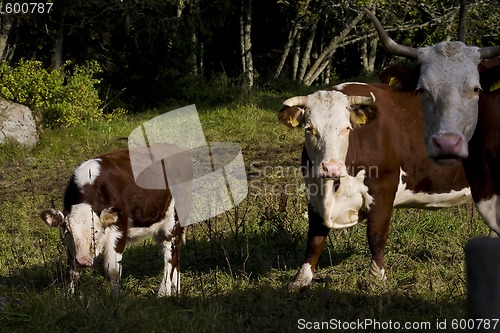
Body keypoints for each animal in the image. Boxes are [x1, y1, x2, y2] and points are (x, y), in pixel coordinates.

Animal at [39, 145, 188, 296]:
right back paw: (175, 290)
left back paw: (163, 293)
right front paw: (69, 296)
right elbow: (72, 271)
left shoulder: (118, 230)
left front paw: (116, 298)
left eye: (95, 231)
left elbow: (112, 271)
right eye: (68, 232)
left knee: (170, 256)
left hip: (173, 220)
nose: (83, 261)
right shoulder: (71, 245)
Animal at [280, 82, 470, 288]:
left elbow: (376, 235)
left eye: (347, 128)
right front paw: (301, 278)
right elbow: (314, 239)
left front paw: (377, 276)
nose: (331, 168)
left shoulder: (383, 191)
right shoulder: (314, 195)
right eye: (309, 129)